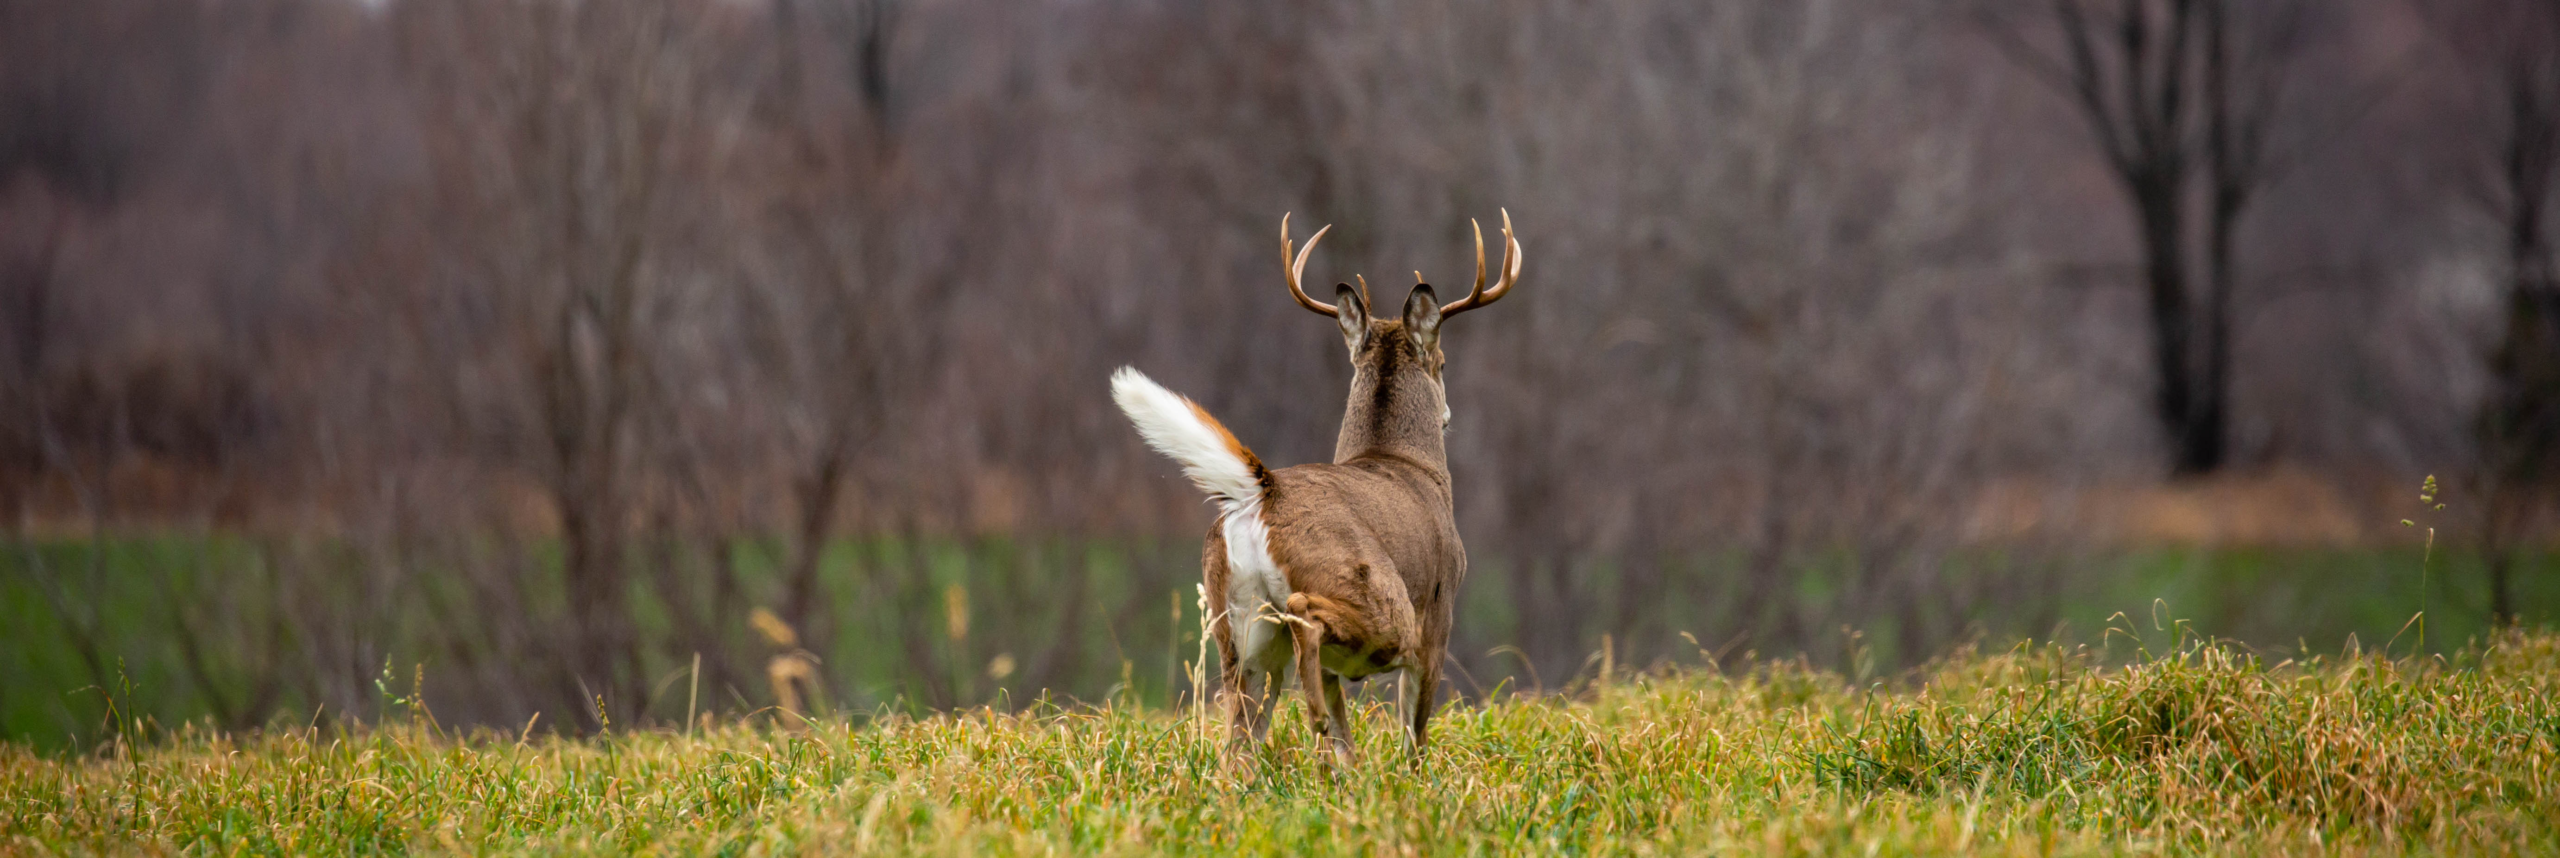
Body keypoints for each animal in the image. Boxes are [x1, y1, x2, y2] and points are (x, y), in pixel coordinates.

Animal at [1111, 210, 1521, 768]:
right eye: (1444, 363)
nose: (1449, 413)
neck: (1406, 465)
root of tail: (1265, 489)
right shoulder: (1440, 616)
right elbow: (1414, 735)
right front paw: (1408, 780)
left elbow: (1350, 739)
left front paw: (1351, 774)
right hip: (1377, 599)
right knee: (1306, 617)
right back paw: (1315, 724)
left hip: (1237, 630)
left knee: (1237, 742)